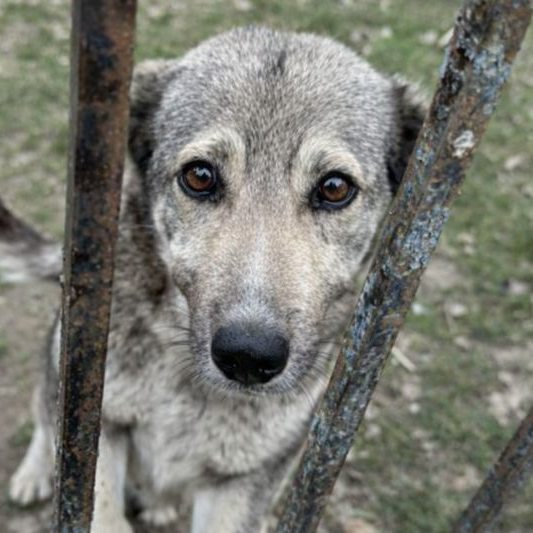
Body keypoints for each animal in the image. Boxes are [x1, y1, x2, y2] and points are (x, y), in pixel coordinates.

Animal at [3, 26, 424, 532]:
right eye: (200, 176)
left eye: (335, 187)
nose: (248, 355)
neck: (187, 382)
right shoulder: (99, 427)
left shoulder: (242, 484)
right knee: (43, 416)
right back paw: (33, 473)